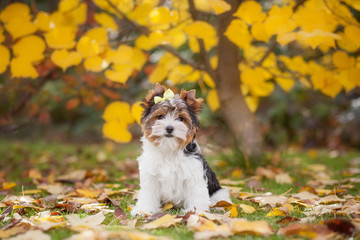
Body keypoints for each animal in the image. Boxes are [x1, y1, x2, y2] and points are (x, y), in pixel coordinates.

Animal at [131, 84, 231, 216]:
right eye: (160, 116)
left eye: (180, 118)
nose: (169, 128)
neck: (169, 148)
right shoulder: (151, 175)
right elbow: (149, 192)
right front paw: (144, 209)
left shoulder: (193, 173)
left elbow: (195, 191)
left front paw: (196, 211)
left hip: (218, 191)